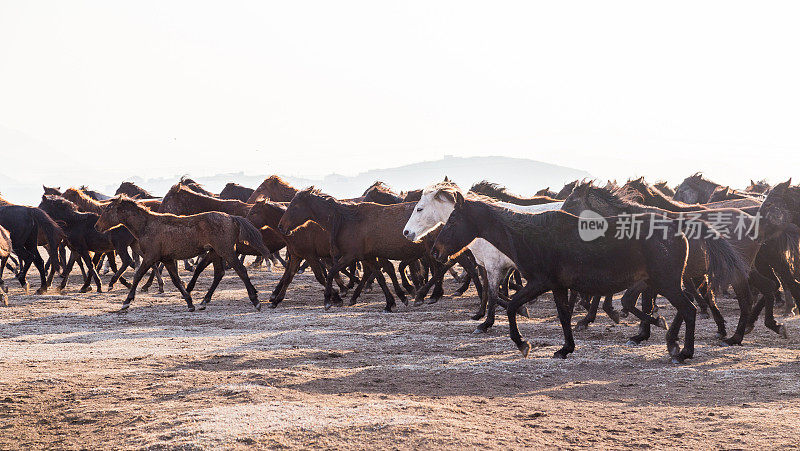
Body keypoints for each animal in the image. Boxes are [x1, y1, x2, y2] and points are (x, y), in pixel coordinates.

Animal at [404, 182, 560, 334]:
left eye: (419, 209)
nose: (406, 232)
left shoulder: (493, 266)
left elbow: (492, 292)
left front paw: (487, 323)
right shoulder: (483, 264)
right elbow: (485, 288)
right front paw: (480, 314)